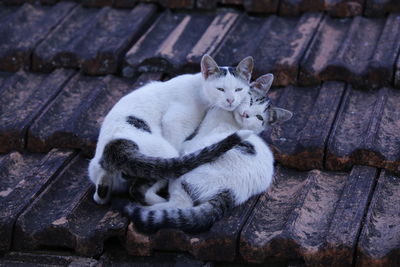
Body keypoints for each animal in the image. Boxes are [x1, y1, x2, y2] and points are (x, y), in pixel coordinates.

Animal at [90, 54, 253, 205]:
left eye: (238, 89)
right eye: (220, 89)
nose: (230, 100)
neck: (199, 90)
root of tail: (115, 146)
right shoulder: (173, 121)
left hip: (94, 167)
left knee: (100, 195)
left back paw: (104, 186)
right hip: (165, 154)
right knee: (142, 187)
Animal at [112, 73, 294, 232]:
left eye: (259, 117)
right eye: (250, 101)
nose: (246, 114)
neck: (232, 121)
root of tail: (230, 192)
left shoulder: (194, 141)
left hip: (185, 176)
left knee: (179, 203)